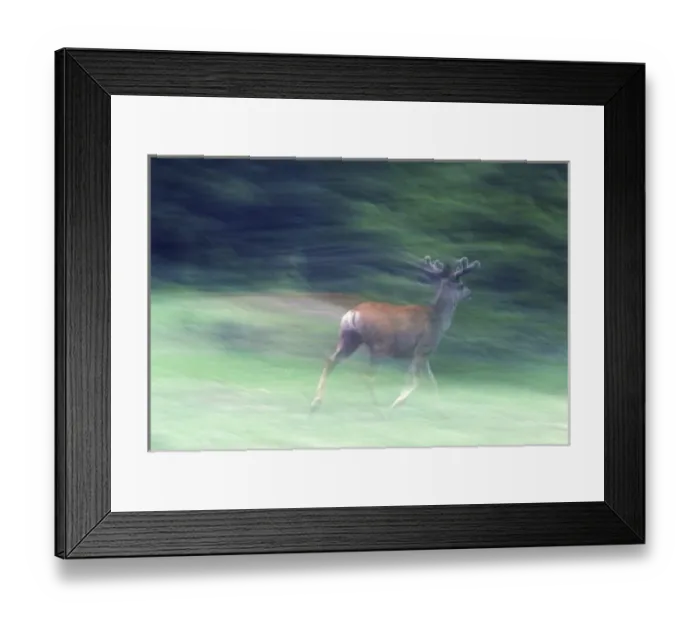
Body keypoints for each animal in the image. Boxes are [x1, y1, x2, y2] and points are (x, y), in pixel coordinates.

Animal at [310, 255, 481, 411]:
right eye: (461, 285)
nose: (470, 293)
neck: (438, 319)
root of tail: (353, 313)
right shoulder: (423, 347)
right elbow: (416, 379)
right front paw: (398, 402)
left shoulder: (423, 354)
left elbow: (432, 381)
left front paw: (441, 408)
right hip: (380, 345)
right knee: (368, 375)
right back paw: (378, 407)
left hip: (349, 338)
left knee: (331, 361)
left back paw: (316, 402)